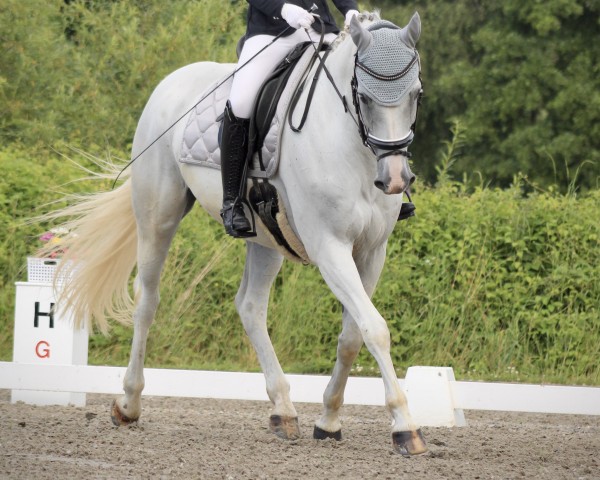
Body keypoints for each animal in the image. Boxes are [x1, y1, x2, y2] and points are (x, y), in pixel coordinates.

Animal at [50, 10, 426, 454]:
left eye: (416, 94)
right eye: (364, 98)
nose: (395, 179)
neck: (351, 147)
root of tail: (172, 81)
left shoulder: (371, 251)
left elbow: (354, 334)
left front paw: (329, 420)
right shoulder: (329, 247)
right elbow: (375, 329)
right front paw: (405, 426)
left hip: (266, 238)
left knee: (250, 306)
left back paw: (283, 410)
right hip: (158, 217)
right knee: (147, 300)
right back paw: (128, 404)